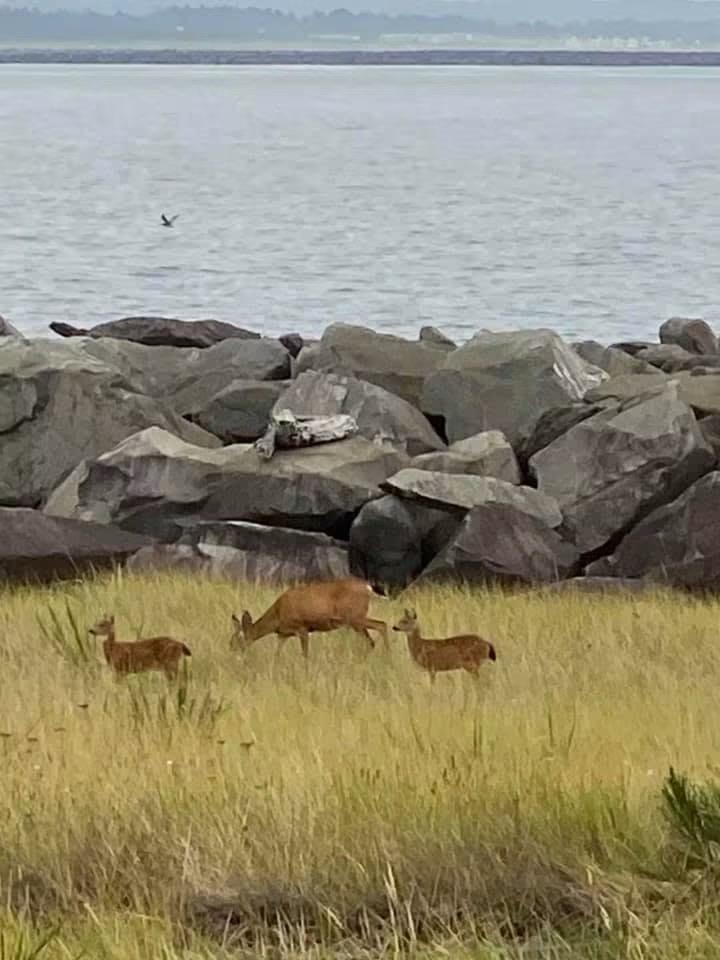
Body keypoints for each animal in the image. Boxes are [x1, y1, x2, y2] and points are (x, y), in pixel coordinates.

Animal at [231, 577, 388, 659]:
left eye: (235, 641)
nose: (232, 655)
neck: (277, 614)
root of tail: (367, 588)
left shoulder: (302, 628)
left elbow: (305, 654)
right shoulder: (283, 635)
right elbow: (277, 655)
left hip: (355, 617)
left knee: (381, 625)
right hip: (356, 620)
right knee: (372, 640)